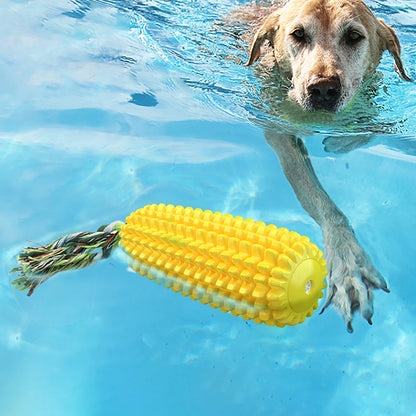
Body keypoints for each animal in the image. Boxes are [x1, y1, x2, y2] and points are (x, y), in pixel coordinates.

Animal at [234, 0, 412, 332]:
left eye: (354, 37)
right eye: (298, 34)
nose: (323, 89)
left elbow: (370, 130)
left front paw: (340, 141)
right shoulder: (277, 129)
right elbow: (319, 199)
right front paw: (345, 261)